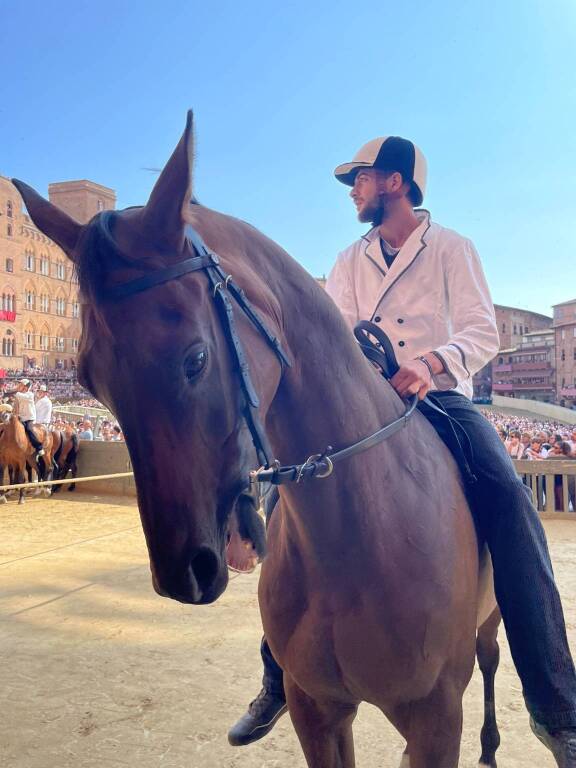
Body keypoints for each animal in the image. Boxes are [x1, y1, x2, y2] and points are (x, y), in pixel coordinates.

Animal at [11, 114, 502, 768]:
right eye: (91, 380)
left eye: (195, 358)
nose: (185, 570)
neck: (360, 535)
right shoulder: (317, 712)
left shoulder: (435, 722)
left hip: (488, 630)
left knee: (494, 661)